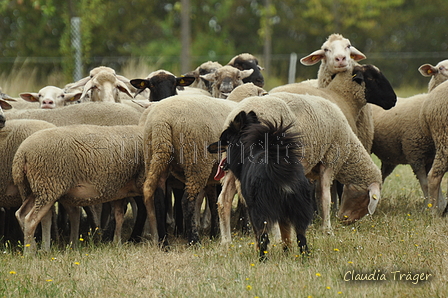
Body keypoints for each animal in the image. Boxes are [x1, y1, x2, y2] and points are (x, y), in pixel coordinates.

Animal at [13, 124, 144, 253]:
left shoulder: (120, 191)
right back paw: (30, 253)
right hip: (48, 185)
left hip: (34, 189)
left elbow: (119, 217)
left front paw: (117, 243)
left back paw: (36, 247)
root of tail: (22, 153)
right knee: (30, 219)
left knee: (22, 214)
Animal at [208, 112, 314, 260]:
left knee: (264, 237)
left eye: (223, 139)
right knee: (301, 237)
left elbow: (258, 236)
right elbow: (286, 235)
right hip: (298, 208)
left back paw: (261, 258)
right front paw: (286, 253)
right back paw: (304, 258)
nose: (208, 147)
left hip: (260, 211)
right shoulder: (283, 213)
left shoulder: (252, 208)